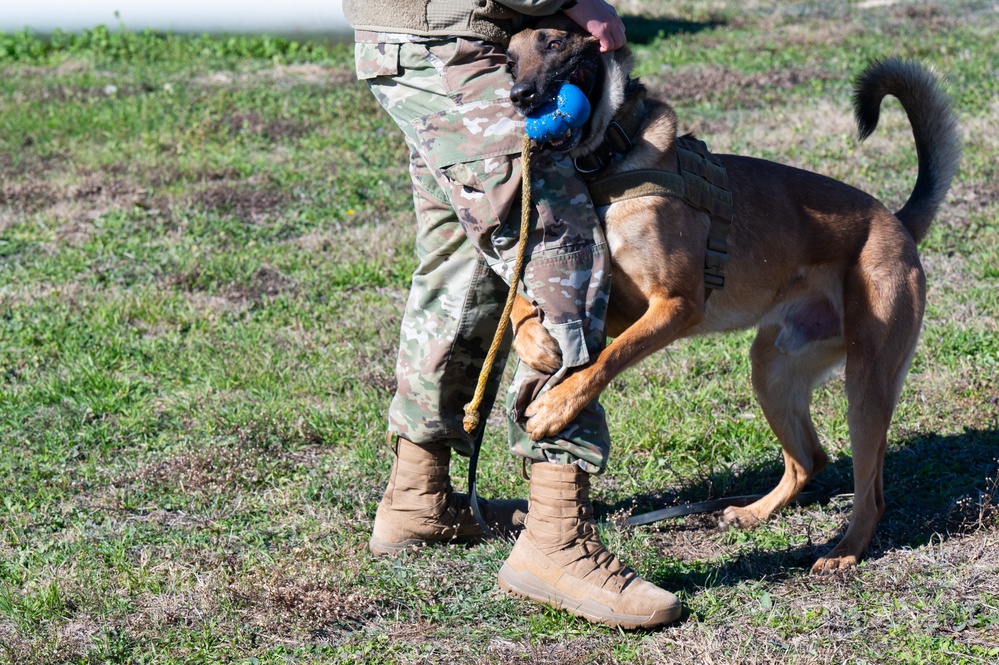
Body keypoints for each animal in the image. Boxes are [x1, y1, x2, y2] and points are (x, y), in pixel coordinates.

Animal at [508, 15, 960, 572]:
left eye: (554, 43)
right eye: (509, 61)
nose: (520, 97)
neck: (611, 161)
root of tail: (897, 222)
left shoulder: (675, 304)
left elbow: (608, 359)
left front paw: (556, 406)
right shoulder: (616, 305)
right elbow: (525, 298)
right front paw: (532, 338)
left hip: (867, 387)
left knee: (870, 493)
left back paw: (843, 552)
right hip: (773, 370)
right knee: (809, 459)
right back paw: (754, 512)